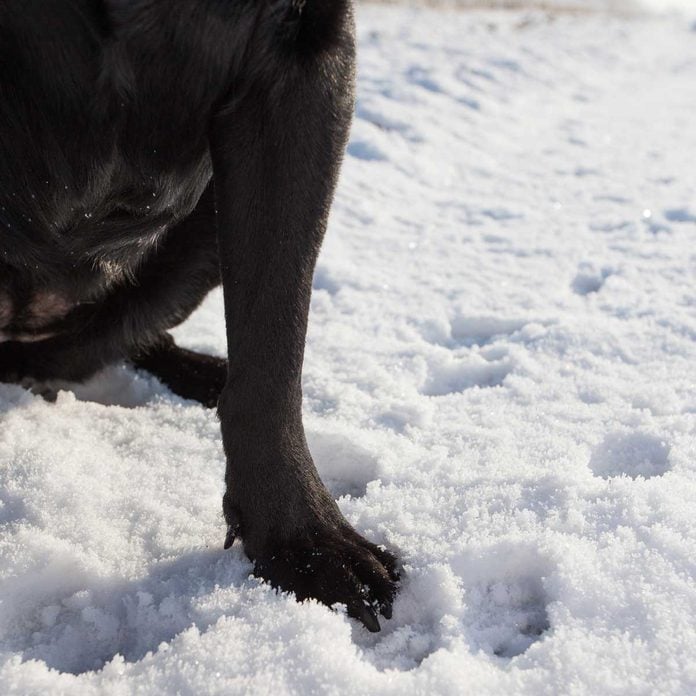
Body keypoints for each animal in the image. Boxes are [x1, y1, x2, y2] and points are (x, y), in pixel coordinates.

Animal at [0, 0, 396, 632]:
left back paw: (207, 375)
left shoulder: (306, 58)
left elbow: (273, 353)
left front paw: (305, 542)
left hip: (201, 229)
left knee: (115, 340)